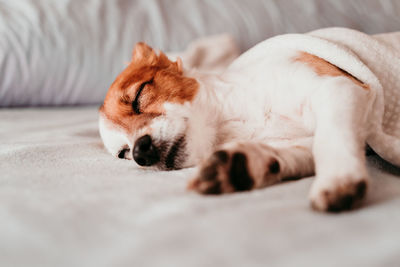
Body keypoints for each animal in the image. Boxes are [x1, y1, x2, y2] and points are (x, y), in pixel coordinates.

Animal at [97, 33, 382, 213]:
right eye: (124, 153)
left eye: (139, 96)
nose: (140, 152)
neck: (233, 121)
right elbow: (299, 151)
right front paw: (242, 165)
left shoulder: (339, 88)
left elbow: (331, 138)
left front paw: (338, 179)